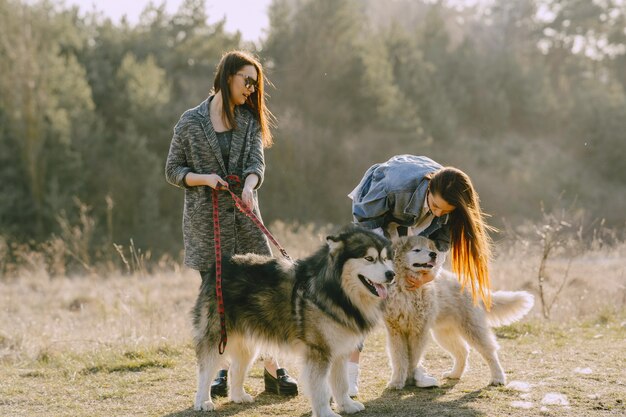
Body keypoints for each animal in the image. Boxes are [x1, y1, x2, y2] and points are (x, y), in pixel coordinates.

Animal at [193, 226, 392, 416]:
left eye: (385, 258)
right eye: (369, 258)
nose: (391, 274)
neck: (336, 291)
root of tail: (220, 265)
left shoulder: (340, 350)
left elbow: (341, 383)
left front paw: (346, 405)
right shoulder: (318, 350)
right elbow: (321, 389)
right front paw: (326, 413)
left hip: (247, 342)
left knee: (235, 368)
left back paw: (238, 396)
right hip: (217, 337)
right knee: (205, 372)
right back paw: (203, 401)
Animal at [382, 236, 532, 388]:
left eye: (429, 248)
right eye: (417, 250)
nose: (434, 254)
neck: (405, 287)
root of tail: (472, 284)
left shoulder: (418, 330)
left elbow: (412, 358)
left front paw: (411, 379)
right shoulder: (395, 331)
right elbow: (399, 358)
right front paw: (397, 382)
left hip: (472, 328)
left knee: (489, 351)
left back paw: (497, 378)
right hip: (444, 333)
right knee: (462, 351)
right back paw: (454, 374)